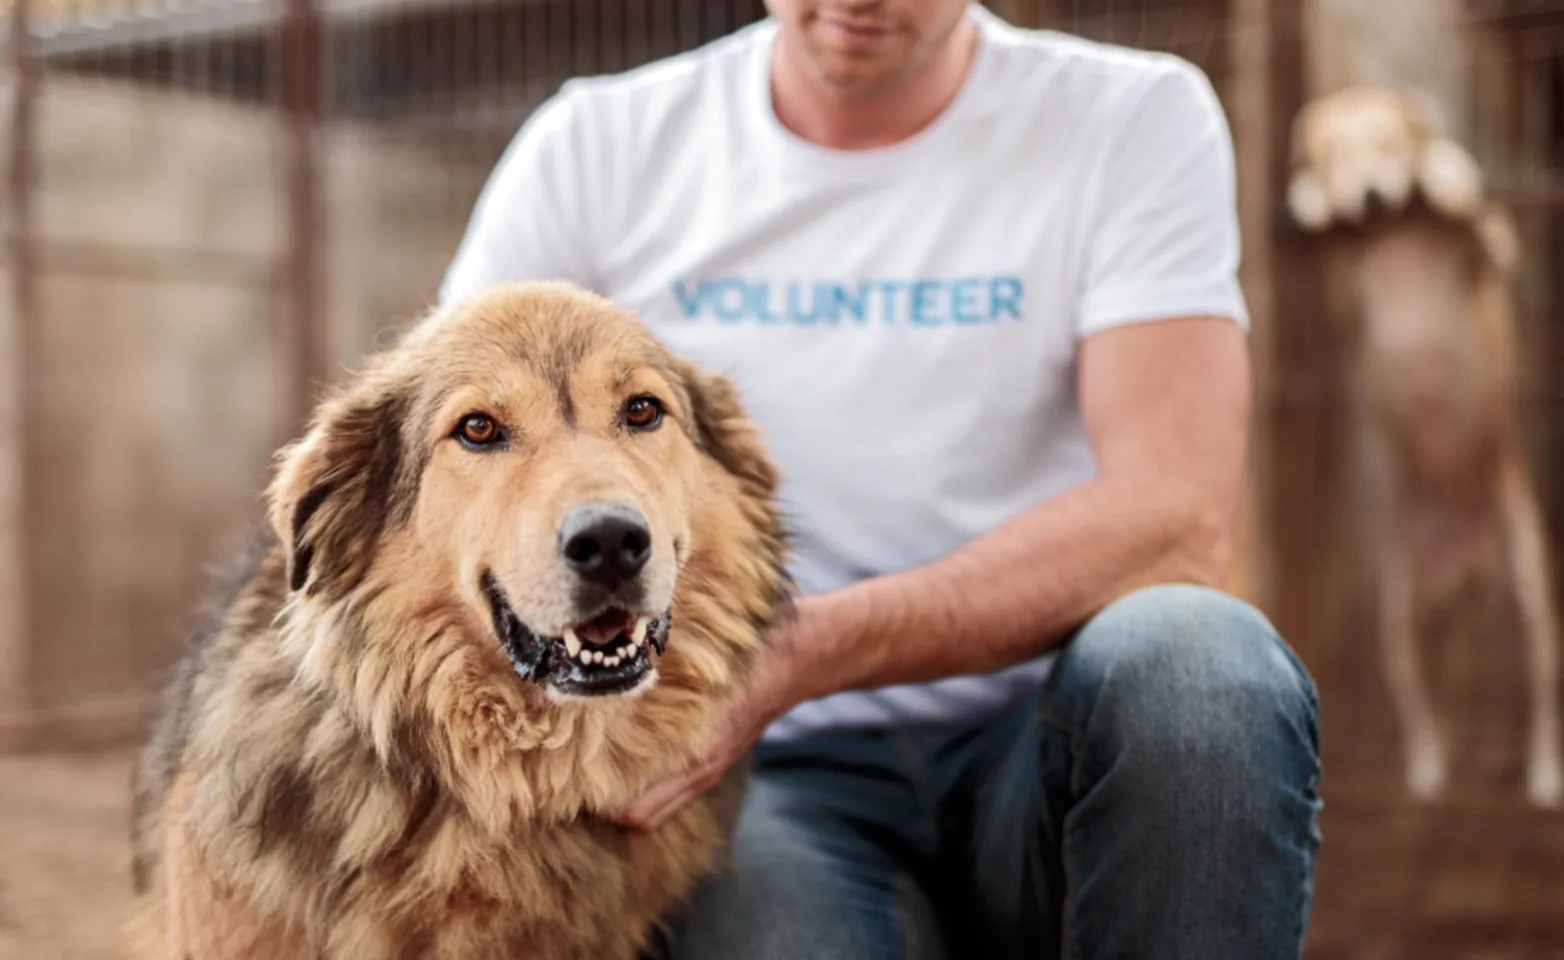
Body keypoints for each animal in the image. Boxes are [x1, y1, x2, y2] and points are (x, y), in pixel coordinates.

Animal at [1288, 88, 1557, 813]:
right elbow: (1323, 240)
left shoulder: (1495, 249)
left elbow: (1464, 192)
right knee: (1422, 709)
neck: (1393, 238)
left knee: (1544, 704)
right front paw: (1310, 196)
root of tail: (1469, 573)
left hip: (1534, 607)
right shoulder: (1341, 294)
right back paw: (1427, 775)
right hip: (1401, 623)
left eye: (1388, 147)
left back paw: (1545, 777)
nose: (1373, 196)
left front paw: (1437, 171)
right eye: (1340, 156)